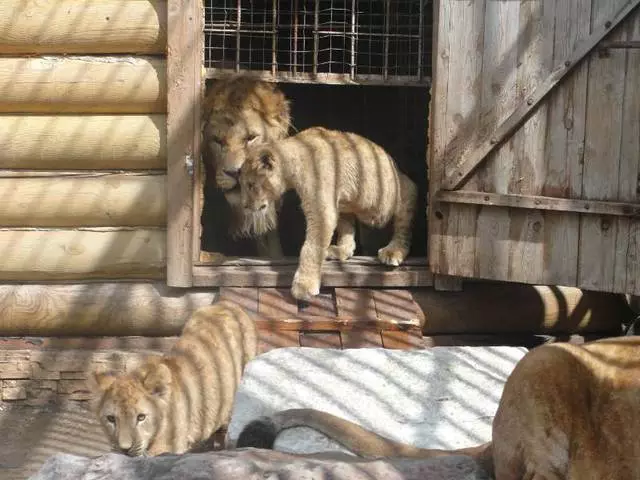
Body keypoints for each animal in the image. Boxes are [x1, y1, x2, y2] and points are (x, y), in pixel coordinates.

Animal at [238, 127, 418, 300]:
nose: (245, 206)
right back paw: (340, 251)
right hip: (346, 204)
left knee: (403, 225)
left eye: (251, 185)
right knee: (347, 231)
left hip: (393, 198)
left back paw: (393, 251)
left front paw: (304, 286)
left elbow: (311, 247)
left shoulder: (321, 212)